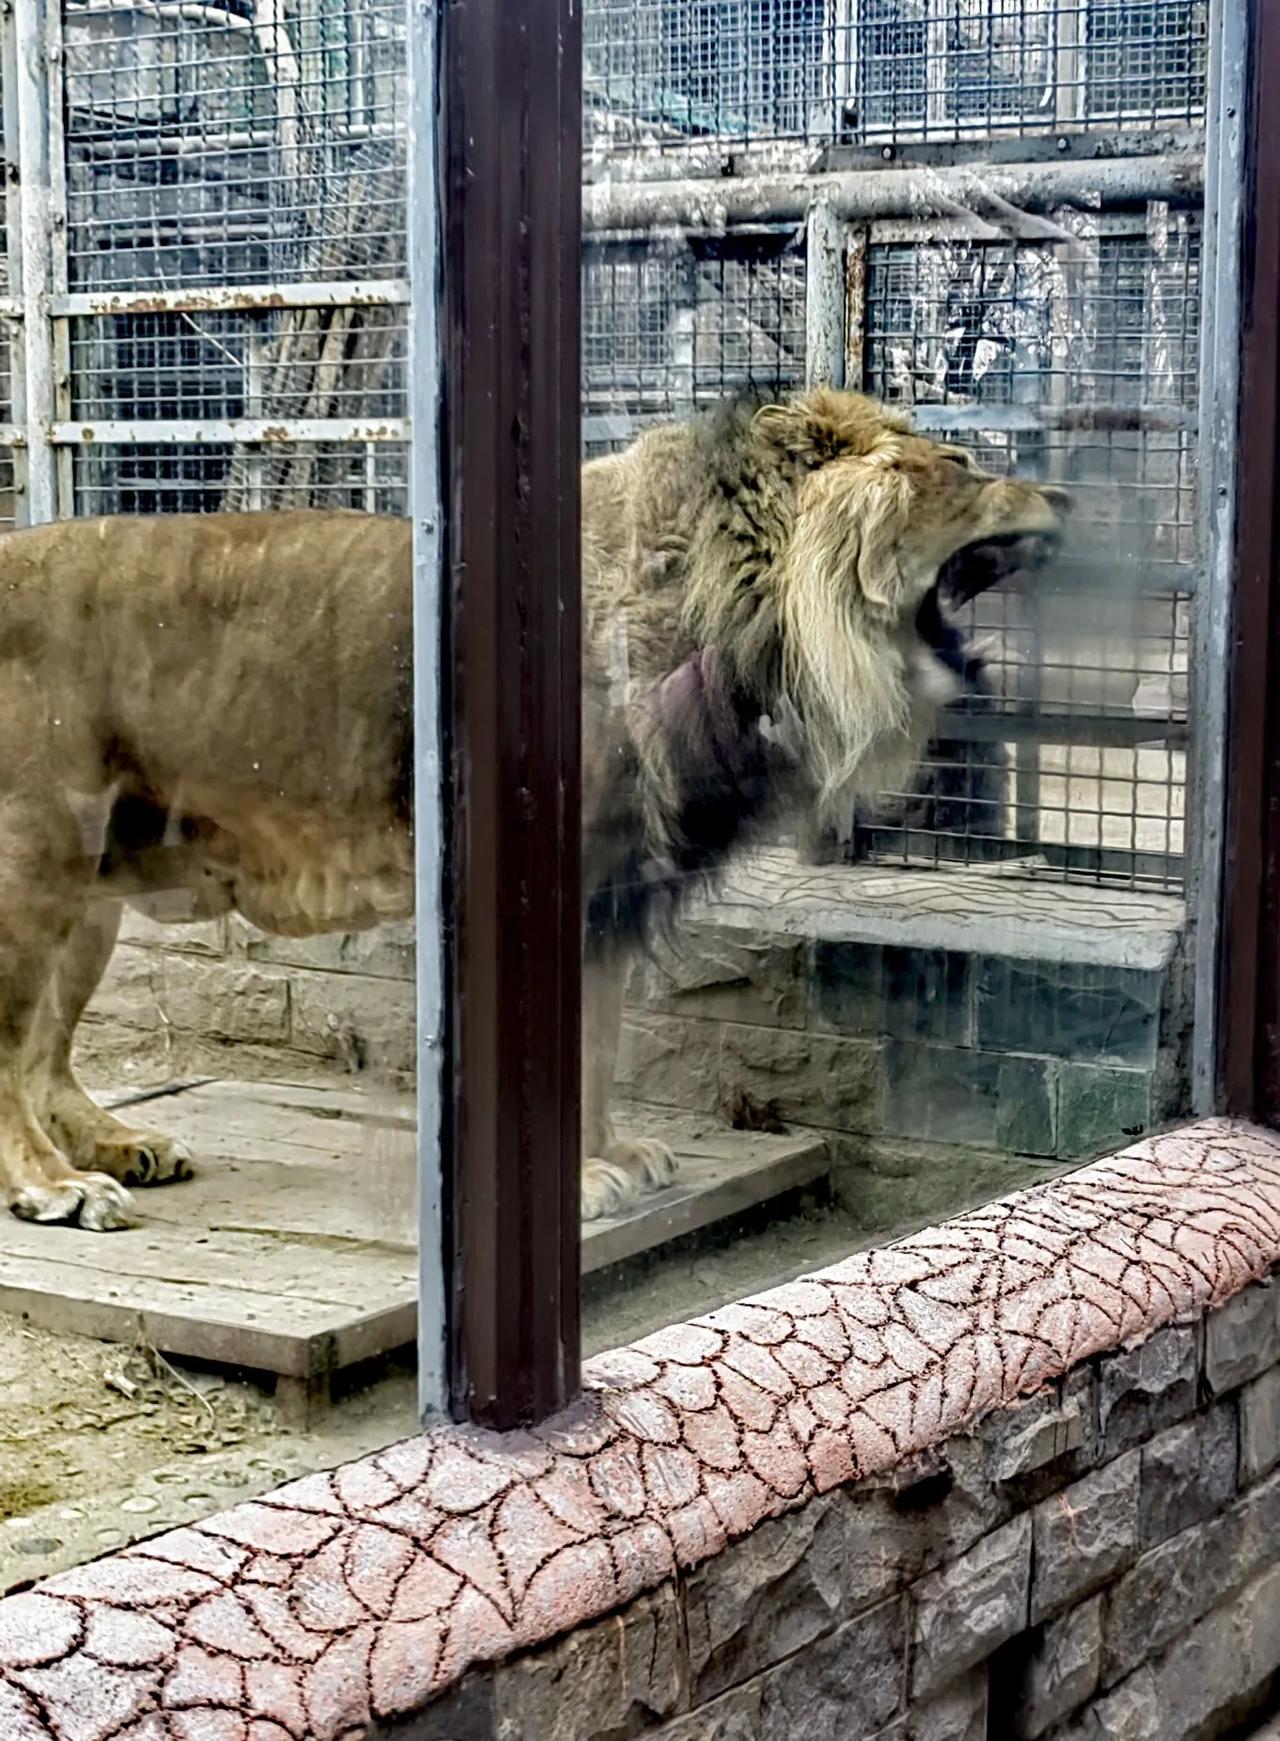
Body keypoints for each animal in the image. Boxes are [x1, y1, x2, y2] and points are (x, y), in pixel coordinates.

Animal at [0, 388, 1058, 1232]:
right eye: (959, 465)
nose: (1073, 500)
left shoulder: (610, 897)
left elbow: (597, 1042)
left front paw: (612, 1157)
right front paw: (580, 1180)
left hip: (89, 902)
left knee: (49, 1056)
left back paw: (119, 1145)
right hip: (34, 874)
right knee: (13, 1055)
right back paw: (54, 1186)